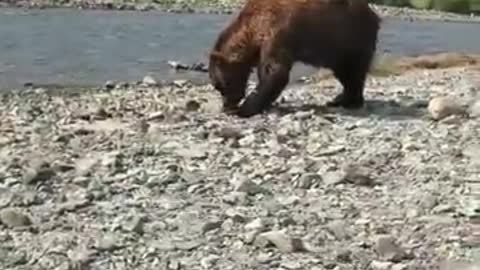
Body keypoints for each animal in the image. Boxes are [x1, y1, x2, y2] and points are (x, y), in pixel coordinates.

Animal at [208, 0, 380, 117]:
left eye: (218, 85)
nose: (226, 106)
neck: (252, 31)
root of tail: (374, 14)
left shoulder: (277, 30)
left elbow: (275, 71)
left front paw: (245, 109)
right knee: (344, 72)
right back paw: (340, 99)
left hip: (351, 37)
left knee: (353, 71)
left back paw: (350, 101)